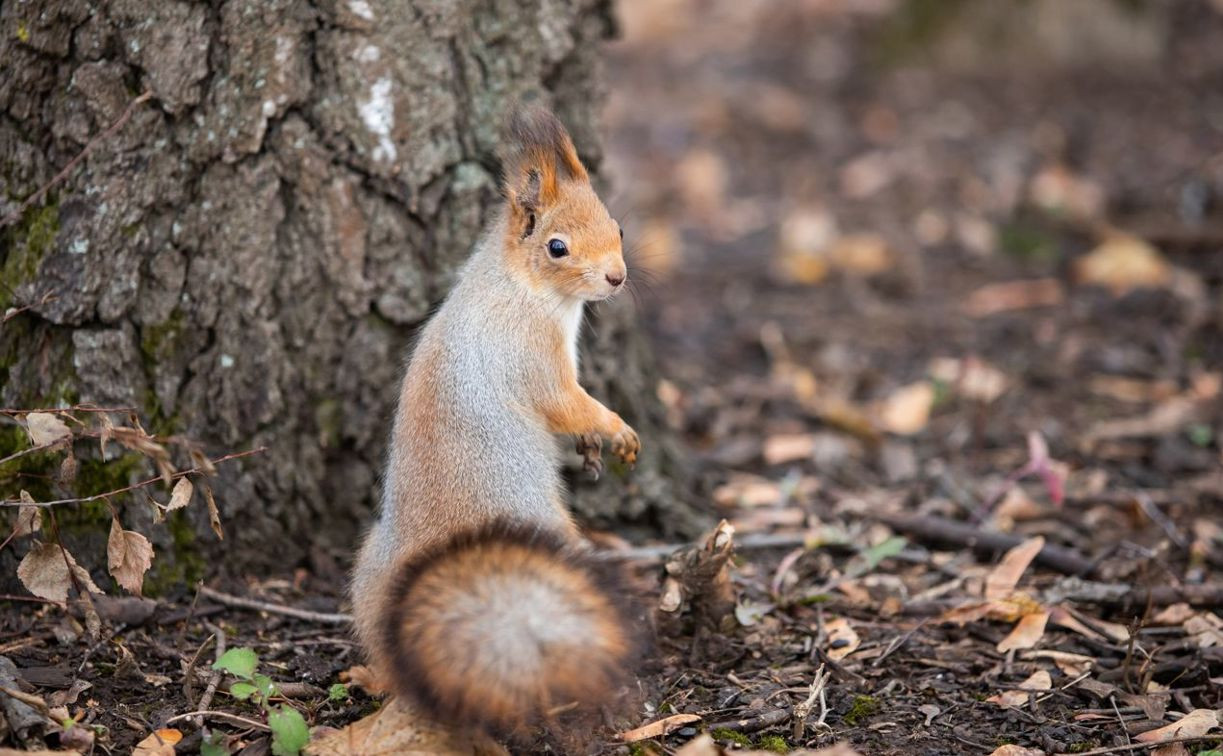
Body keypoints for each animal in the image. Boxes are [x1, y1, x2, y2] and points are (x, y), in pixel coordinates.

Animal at [349, 100, 640, 733]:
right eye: (556, 247)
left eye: (618, 226)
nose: (617, 277)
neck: (520, 286)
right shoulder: (532, 354)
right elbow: (566, 403)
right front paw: (614, 430)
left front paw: (591, 446)